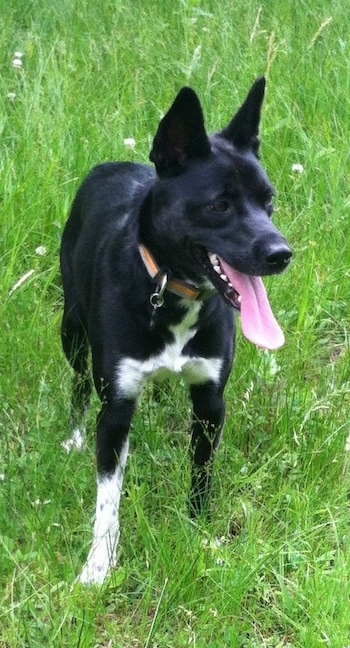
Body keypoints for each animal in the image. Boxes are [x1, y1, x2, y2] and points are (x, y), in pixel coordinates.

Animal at [60, 78, 292, 584]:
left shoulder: (210, 402)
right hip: (72, 329)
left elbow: (201, 476)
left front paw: (199, 535)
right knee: (79, 382)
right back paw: (73, 434)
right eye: (220, 205)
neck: (171, 291)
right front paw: (99, 566)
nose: (282, 253)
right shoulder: (117, 407)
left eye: (268, 202)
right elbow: (107, 500)